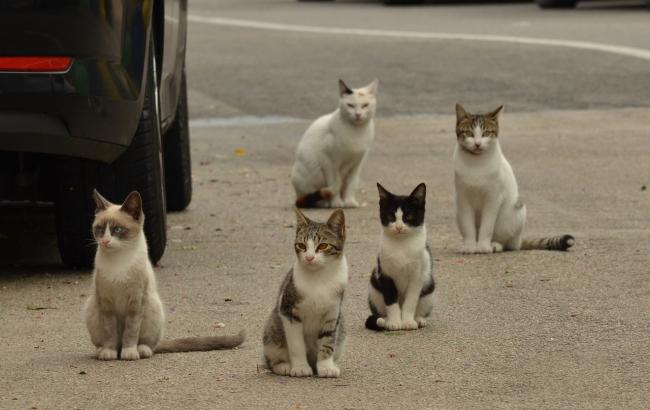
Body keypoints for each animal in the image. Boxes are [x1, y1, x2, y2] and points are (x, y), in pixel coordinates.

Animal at [81, 189, 243, 358]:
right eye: (100, 229)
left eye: (117, 230)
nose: (105, 241)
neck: (118, 261)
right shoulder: (107, 304)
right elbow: (110, 332)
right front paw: (109, 352)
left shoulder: (136, 303)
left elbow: (131, 332)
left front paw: (129, 352)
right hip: (92, 308)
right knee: (109, 341)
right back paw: (103, 350)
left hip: (152, 307)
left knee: (150, 345)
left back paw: (141, 350)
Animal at [262, 208, 346, 378]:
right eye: (301, 245)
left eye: (323, 246)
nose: (309, 257)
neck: (320, 278)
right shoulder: (288, 311)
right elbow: (296, 345)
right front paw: (300, 367)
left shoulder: (332, 314)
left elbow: (328, 342)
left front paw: (326, 366)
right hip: (272, 331)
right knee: (271, 361)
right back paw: (283, 366)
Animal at [292, 79, 378, 210]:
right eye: (350, 105)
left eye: (365, 105)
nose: (358, 114)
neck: (356, 132)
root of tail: (297, 197)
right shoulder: (329, 163)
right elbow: (335, 184)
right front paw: (336, 202)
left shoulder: (357, 164)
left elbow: (351, 184)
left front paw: (349, 201)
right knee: (311, 198)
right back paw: (324, 203)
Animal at [364, 184, 436, 332]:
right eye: (390, 216)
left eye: (408, 216)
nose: (398, 227)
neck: (401, 245)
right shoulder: (385, 273)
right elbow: (391, 301)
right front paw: (394, 322)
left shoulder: (417, 276)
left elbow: (410, 301)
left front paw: (407, 322)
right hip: (374, 286)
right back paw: (384, 320)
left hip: (429, 287)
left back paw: (419, 319)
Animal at [450, 104, 572, 253]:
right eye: (469, 133)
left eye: (486, 133)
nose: (477, 144)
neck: (476, 163)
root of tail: (519, 240)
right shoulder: (463, 198)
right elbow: (468, 227)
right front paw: (469, 246)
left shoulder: (493, 197)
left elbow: (487, 226)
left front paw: (483, 246)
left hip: (515, 212)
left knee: (509, 243)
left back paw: (495, 244)